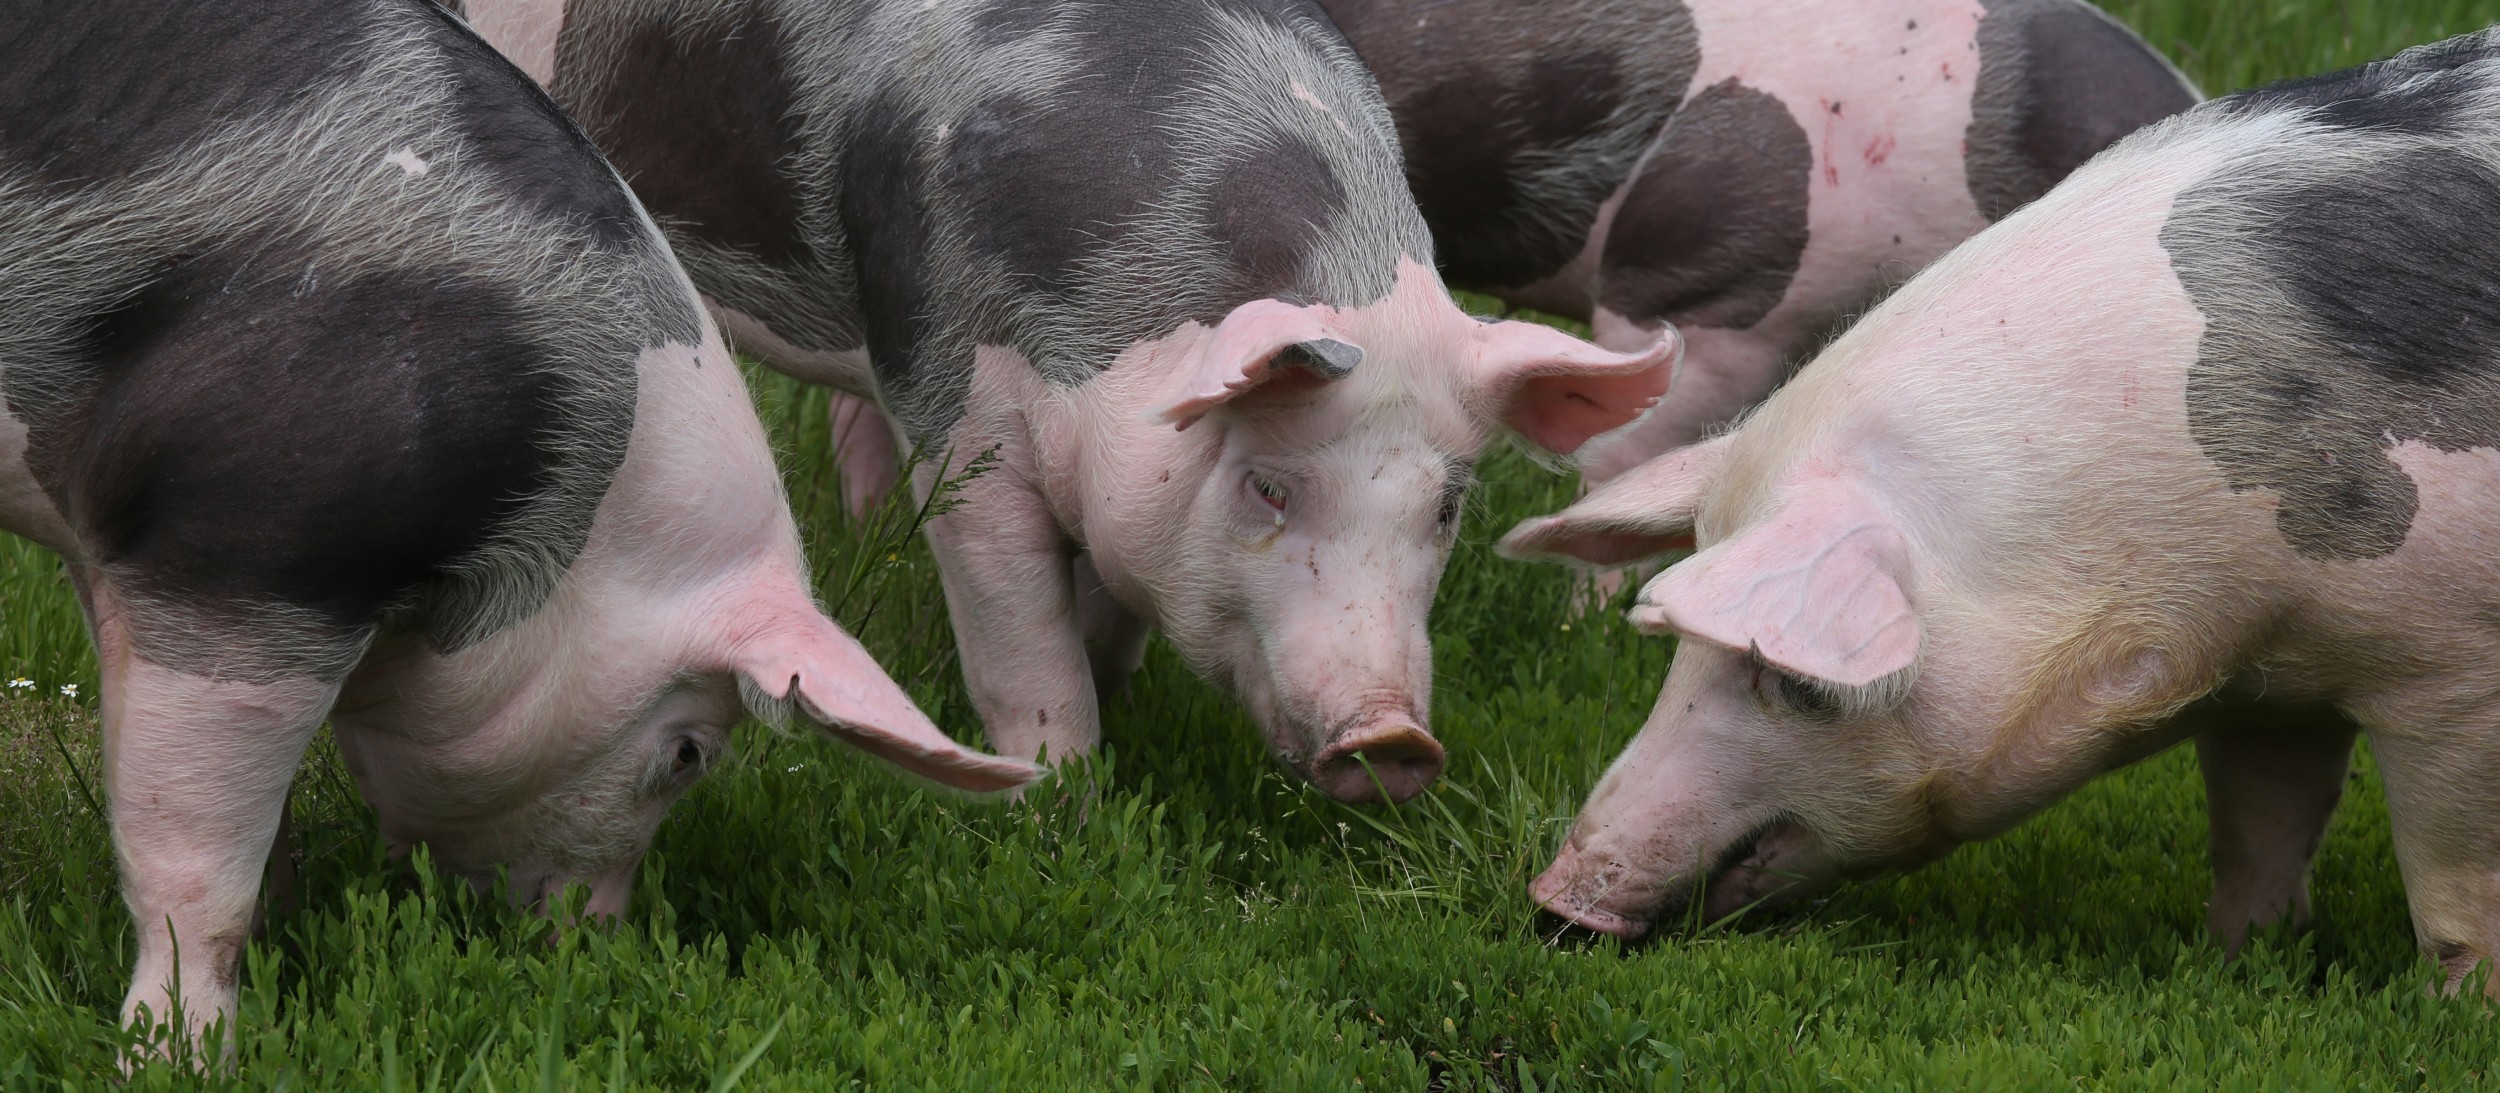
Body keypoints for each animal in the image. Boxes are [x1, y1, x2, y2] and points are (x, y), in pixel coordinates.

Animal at [0, 0, 1035, 1045]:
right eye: (688, 753)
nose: (594, 938)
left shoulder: (120, 545)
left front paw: (281, 935)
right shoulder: (244, 544)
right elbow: (194, 860)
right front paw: (180, 1050)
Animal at [460, 0, 1690, 800]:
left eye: (1446, 507)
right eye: (1267, 487)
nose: (1392, 740)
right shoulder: (956, 402)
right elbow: (1021, 635)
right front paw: (1063, 795)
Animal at [1490, 29, 2500, 990]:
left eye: (1800, 683)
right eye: (1680, 657)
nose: (1555, 900)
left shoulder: (2449, 672)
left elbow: (2452, 889)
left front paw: (2450, 1011)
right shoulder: (2271, 682)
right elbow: (2261, 833)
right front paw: (2236, 964)